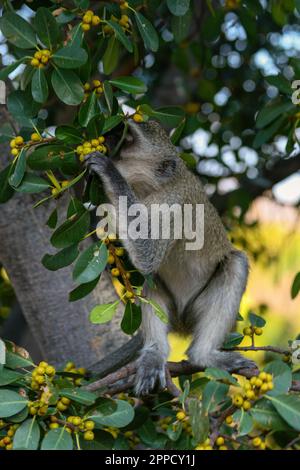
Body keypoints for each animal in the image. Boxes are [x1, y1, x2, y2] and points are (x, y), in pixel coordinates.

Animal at [85, 122, 254, 396]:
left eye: (127, 140)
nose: (107, 137)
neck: (151, 189)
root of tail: (182, 322)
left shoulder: (174, 204)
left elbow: (147, 253)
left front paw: (108, 174)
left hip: (197, 307)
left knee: (236, 262)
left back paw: (203, 356)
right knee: (151, 282)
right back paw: (155, 354)